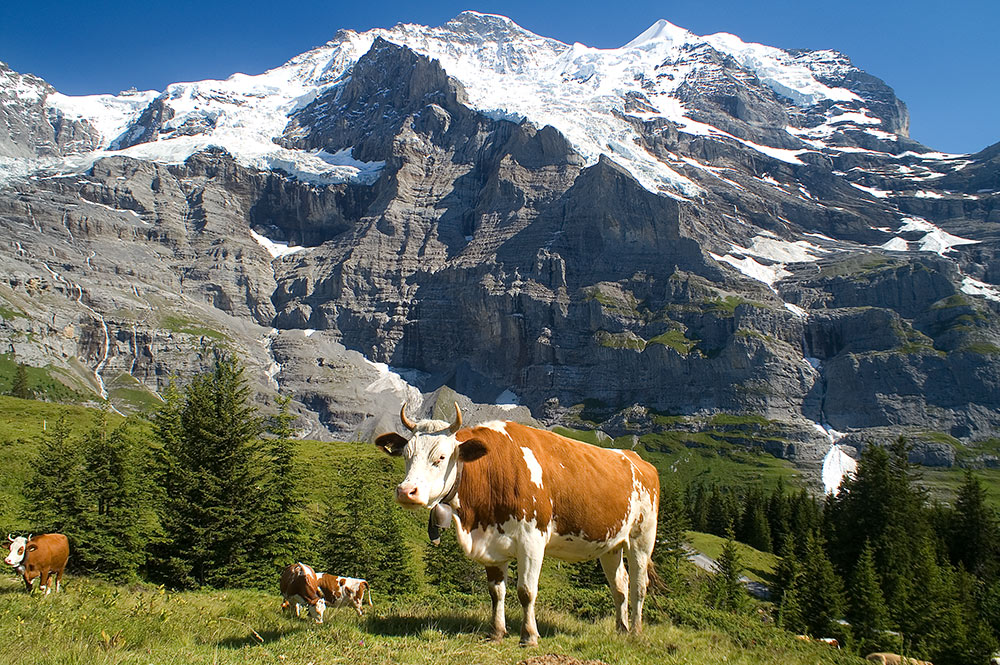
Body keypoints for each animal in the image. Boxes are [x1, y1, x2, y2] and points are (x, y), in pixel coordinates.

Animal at [374, 402, 656, 644]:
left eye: (441, 457)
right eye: (406, 455)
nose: (406, 491)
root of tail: (637, 459)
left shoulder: (532, 540)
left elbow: (526, 591)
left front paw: (529, 636)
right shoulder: (490, 542)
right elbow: (496, 591)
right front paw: (496, 632)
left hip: (642, 538)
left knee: (638, 585)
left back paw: (636, 631)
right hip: (611, 544)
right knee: (620, 585)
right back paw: (621, 629)